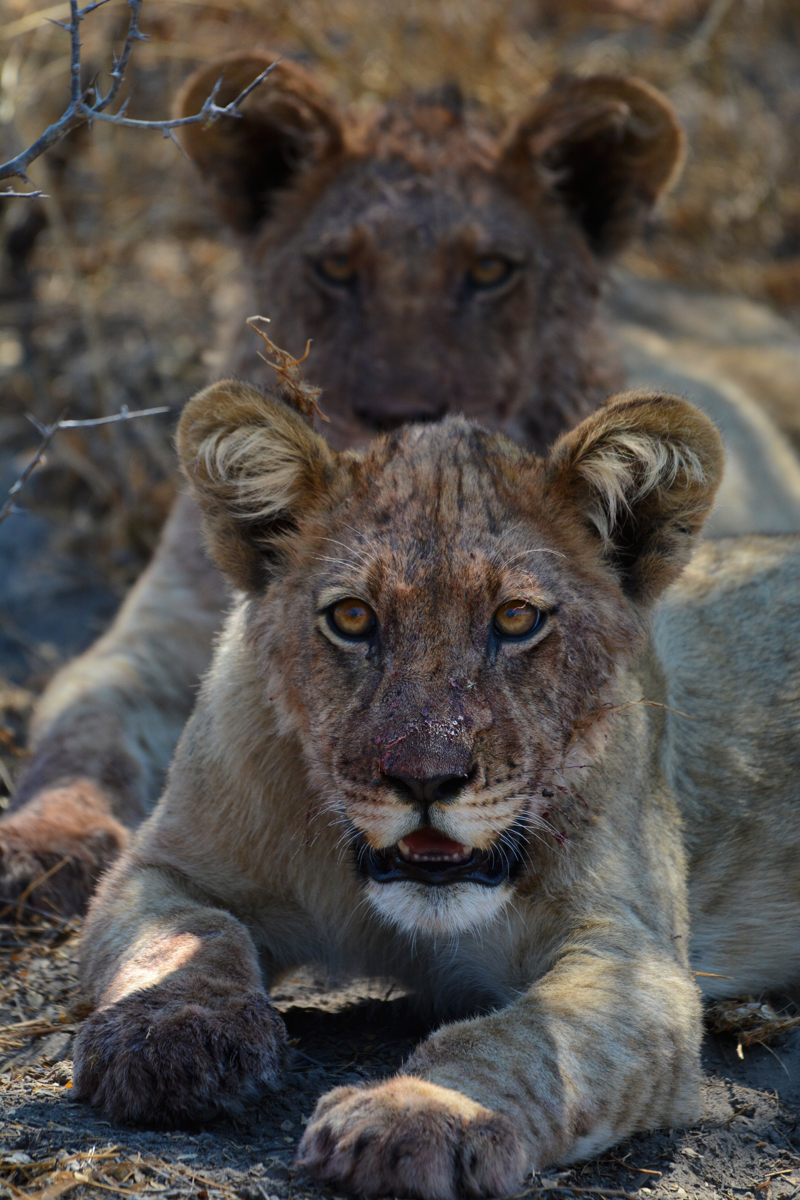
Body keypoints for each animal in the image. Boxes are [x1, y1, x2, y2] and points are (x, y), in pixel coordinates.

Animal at [4, 57, 800, 916]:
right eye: (336, 268)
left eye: (489, 272)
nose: (398, 413)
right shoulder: (154, 636)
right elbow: (85, 725)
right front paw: (40, 848)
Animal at [72, 379, 800, 1200]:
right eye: (352, 617)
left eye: (515, 618)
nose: (425, 778)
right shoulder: (163, 865)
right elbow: (185, 936)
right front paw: (168, 1031)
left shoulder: (635, 960)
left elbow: (526, 1038)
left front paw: (421, 1111)